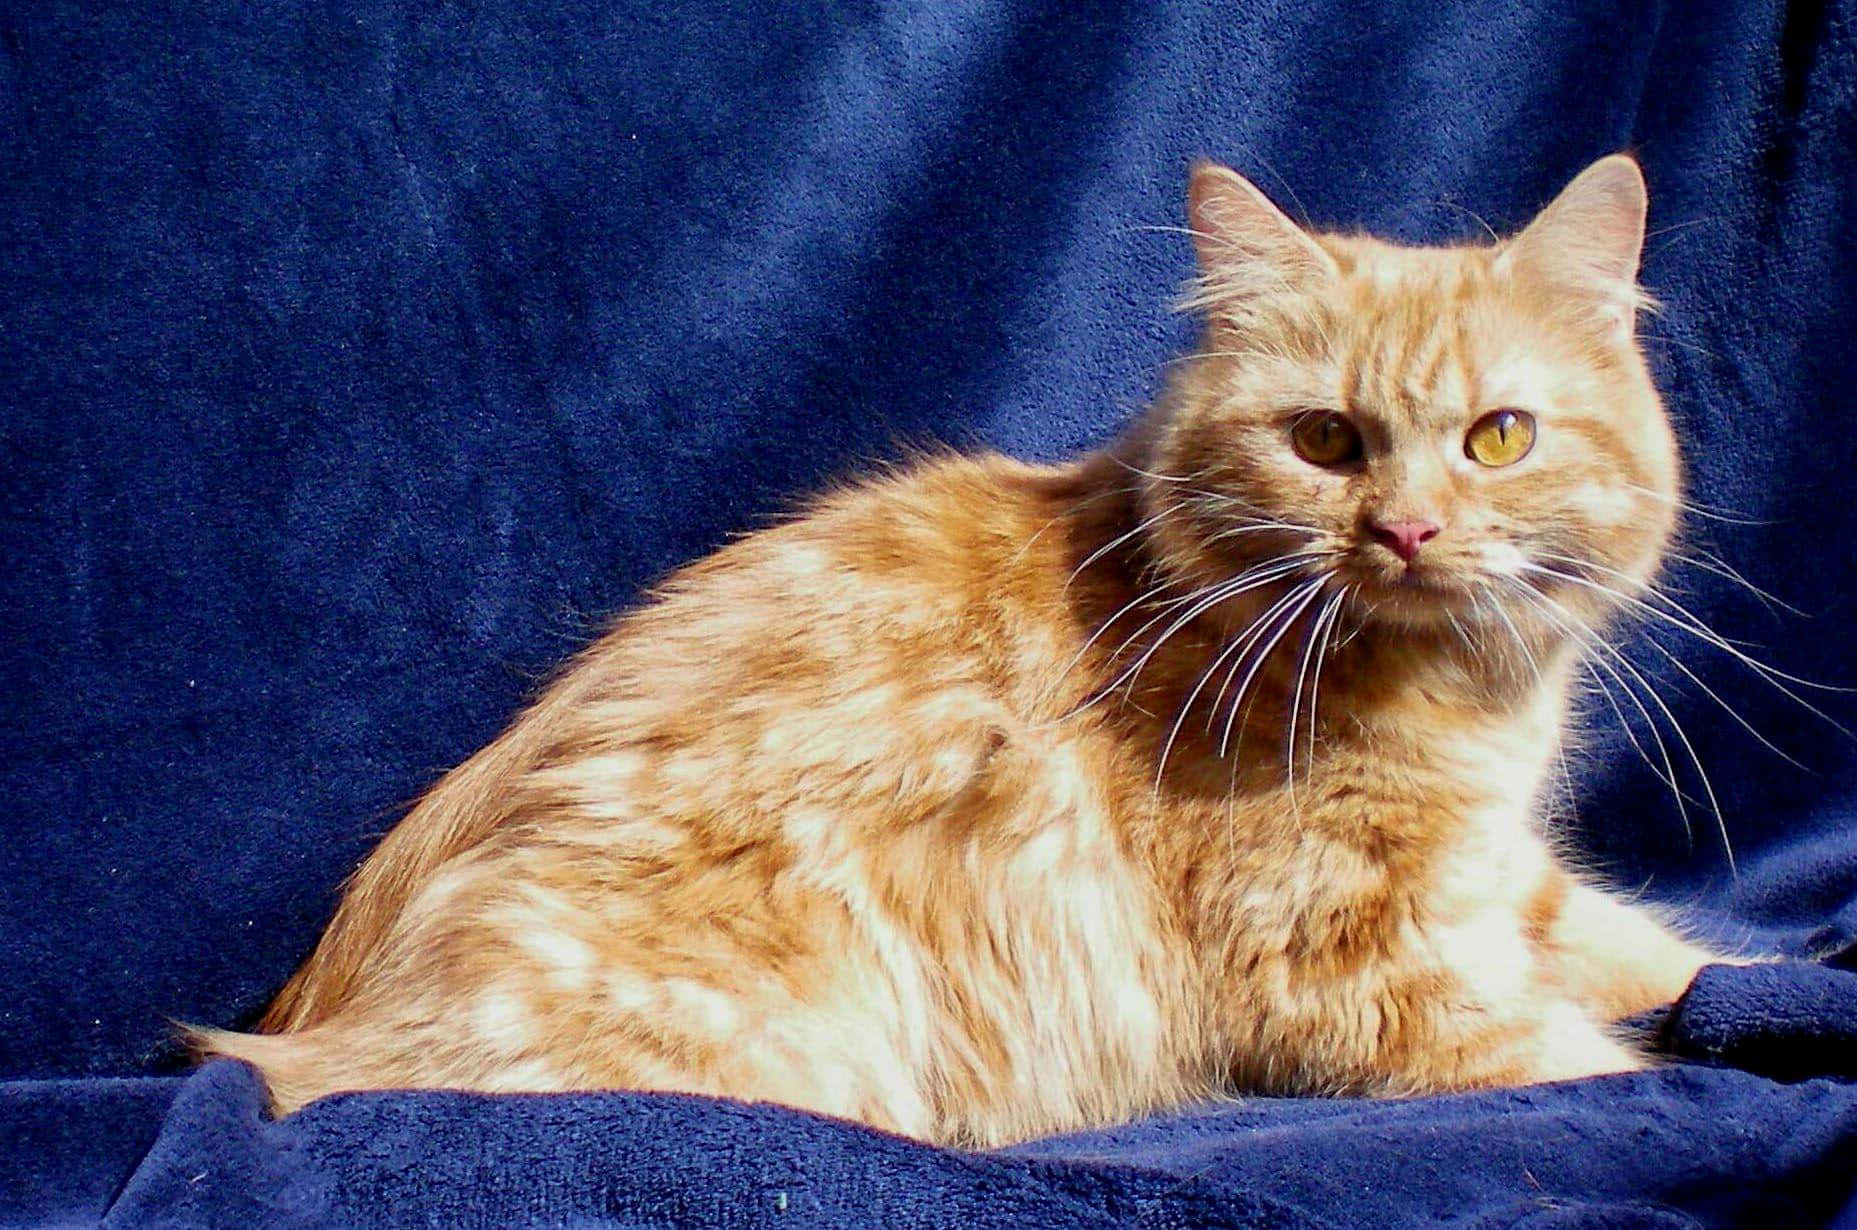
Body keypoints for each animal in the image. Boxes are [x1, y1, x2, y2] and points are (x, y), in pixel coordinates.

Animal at [195, 157, 1730, 1159]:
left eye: (1497, 438)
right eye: (1326, 441)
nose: (1405, 529)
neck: (1450, 699)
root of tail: (306, 1031)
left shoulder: (1497, 878)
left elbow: (1652, 951)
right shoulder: (1350, 974)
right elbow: (1578, 1057)